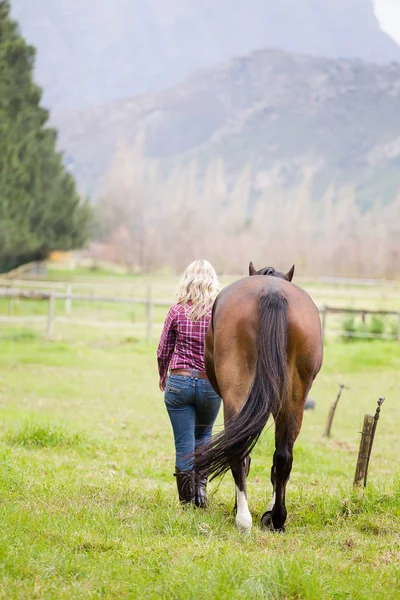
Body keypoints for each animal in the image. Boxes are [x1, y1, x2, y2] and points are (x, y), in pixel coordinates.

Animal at [195, 262, 324, 528]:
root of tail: (272, 292)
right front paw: (271, 511)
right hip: (294, 398)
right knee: (283, 455)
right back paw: (277, 518)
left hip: (237, 394)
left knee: (239, 451)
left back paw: (243, 518)